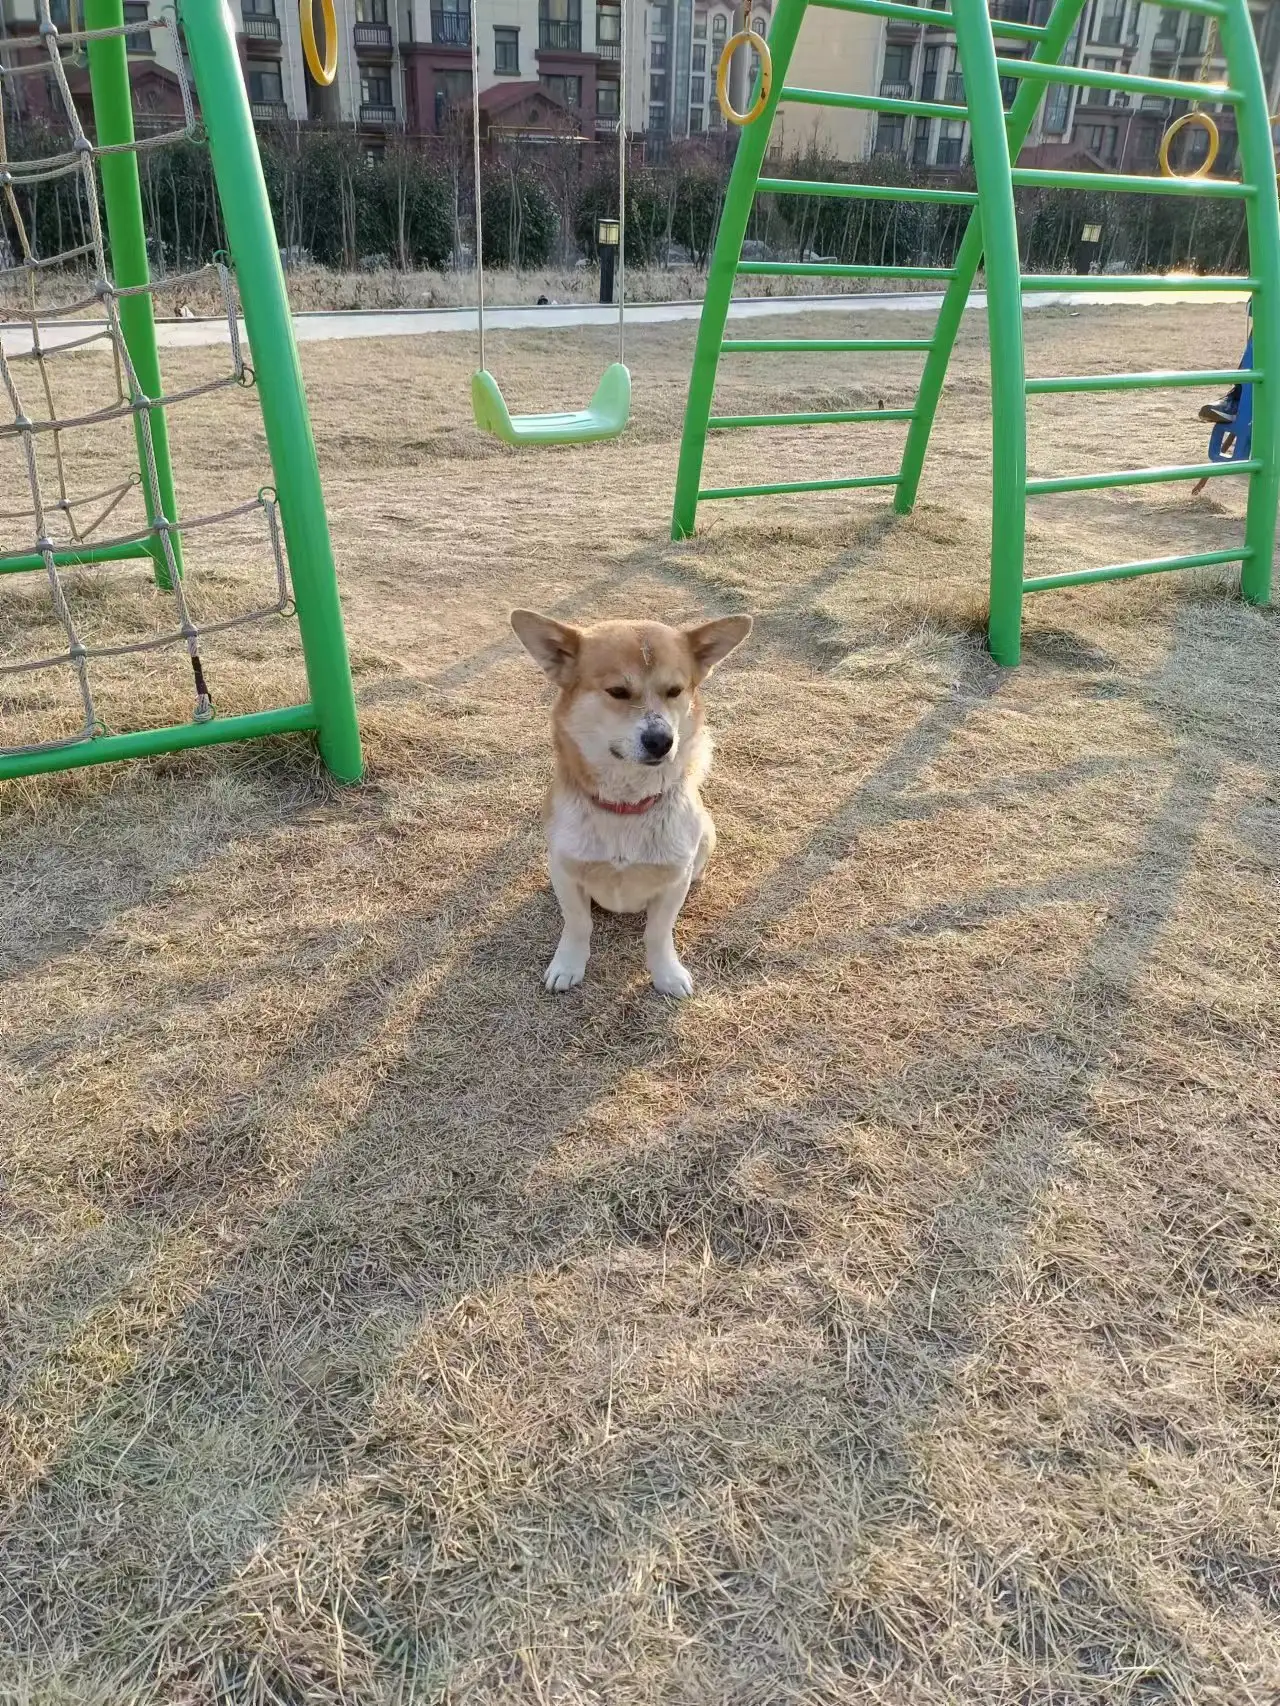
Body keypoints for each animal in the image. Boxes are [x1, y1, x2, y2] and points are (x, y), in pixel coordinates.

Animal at [512, 610, 750, 996]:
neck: (626, 807)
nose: (662, 741)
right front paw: (569, 964)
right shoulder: (565, 871)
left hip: (707, 833)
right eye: (618, 692)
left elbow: (658, 933)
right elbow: (578, 924)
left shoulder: (672, 882)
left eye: (675, 691)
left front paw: (666, 973)